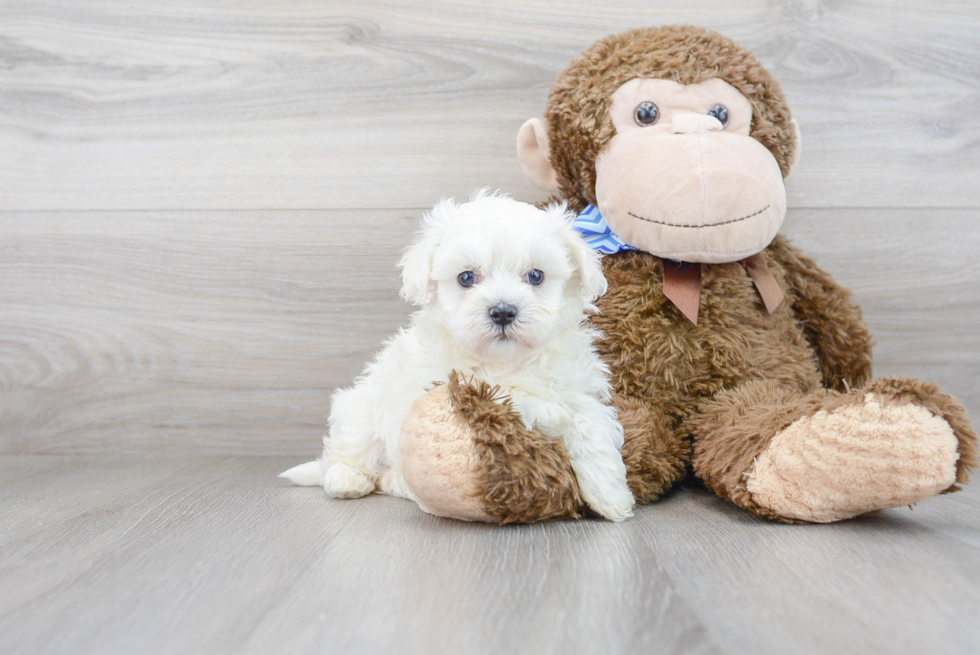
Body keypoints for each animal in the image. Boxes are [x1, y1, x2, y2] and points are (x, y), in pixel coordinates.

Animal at [282, 190, 636, 524]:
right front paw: (549, 411)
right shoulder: (446, 384)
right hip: (360, 412)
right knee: (346, 455)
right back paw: (347, 479)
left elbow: (590, 423)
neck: (507, 361)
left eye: (536, 276)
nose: (503, 311)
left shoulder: (579, 390)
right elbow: (514, 396)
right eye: (466, 277)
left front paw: (610, 496)